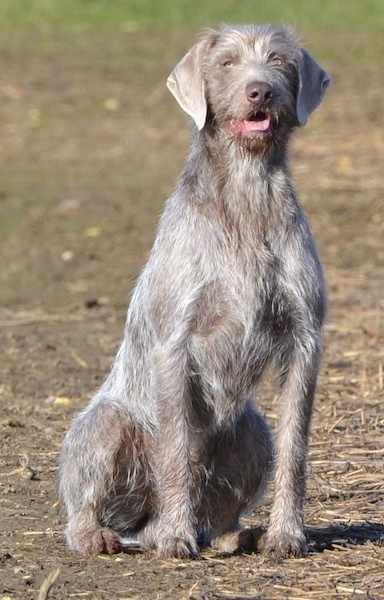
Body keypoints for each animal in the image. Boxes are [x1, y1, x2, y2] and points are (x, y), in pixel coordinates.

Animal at [59, 22, 330, 556]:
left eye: (279, 61)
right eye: (226, 63)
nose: (259, 90)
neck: (247, 189)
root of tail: (140, 524)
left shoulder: (304, 339)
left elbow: (296, 447)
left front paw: (287, 535)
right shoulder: (176, 344)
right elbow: (177, 449)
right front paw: (176, 537)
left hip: (252, 432)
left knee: (224, 507)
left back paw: (231, 535)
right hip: (106, 426)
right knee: (84, 506)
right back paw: (105, 534)